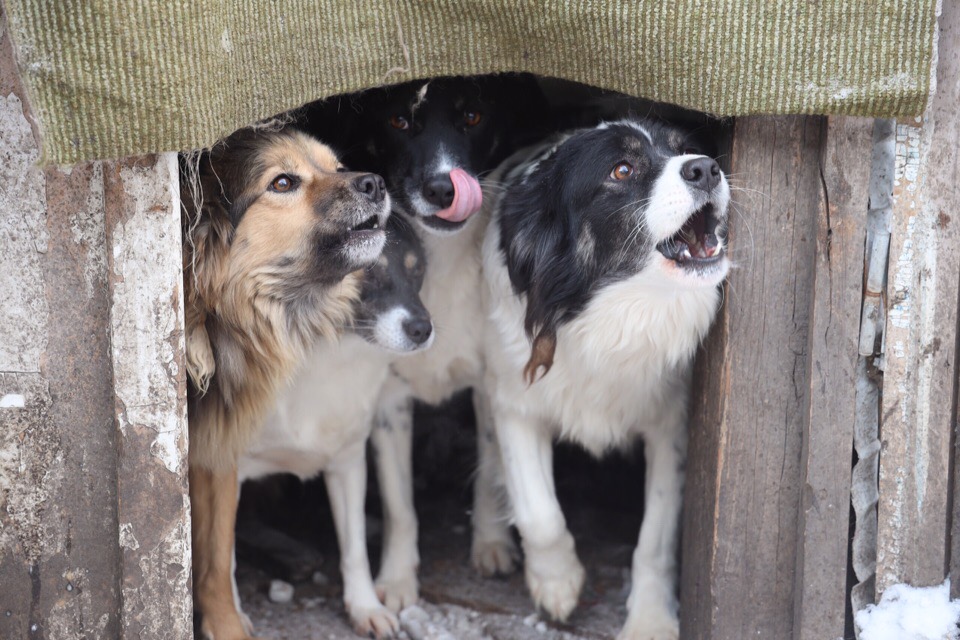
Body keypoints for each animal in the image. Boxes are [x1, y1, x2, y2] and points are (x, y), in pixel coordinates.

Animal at [180, 126, 390, 640]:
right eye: (282, 183)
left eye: (337, 167)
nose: (375, 181)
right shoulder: (213, 455)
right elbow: (217, 559)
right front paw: (228, 626)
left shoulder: (220, 450)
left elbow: (218, 556)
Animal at [238, 218, 434, 636]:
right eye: (367, 270)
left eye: (417, 270)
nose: (422, 329)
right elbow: (217, 558)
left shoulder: (348, 463)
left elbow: (354, 549)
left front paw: (364, 607)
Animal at [304, 72, 552, 608]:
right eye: (399, 120)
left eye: (474, 115)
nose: (443, 188)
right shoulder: (388, 399)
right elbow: (401, 504)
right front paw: (397, 579)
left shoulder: (489, 384)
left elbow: (490, 470)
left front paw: (491, 543)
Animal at [484, 121, 732, 640]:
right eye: (621, 170)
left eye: (684, 149)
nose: (706, 168)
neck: (611, 315)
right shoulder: (514, 403)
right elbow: (538, 512)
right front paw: (556, 582)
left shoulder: (670, 428)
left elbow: (655, 538)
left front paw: (650, 622)